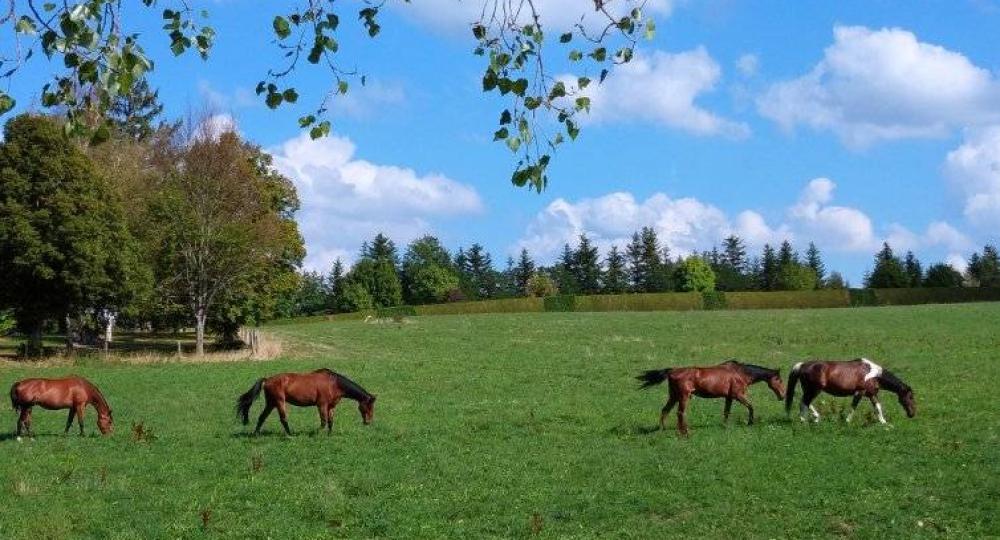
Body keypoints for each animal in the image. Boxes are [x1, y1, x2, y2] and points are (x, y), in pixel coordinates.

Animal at [236, 368, 376, 434]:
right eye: (369, 406)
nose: (368, 422)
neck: (334, 384)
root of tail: (267, 379)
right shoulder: (321, 405)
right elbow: (323, 422)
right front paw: (316, 433)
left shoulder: (331, 406)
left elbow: (330, 421)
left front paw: (329, 434)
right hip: (279, 402)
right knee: (283, 419)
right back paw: (290, 435)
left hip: (271, 403)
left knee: (262, 417)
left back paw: (256, 434)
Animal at [636, 360, 784, 436]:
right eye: (780, 380)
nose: (782, 395)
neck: (741, 373)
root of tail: (672, 371)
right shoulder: (738, 395)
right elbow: (751, 407)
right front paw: (750, 423)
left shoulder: (729, 397)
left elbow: (726, 412)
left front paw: (725, 426)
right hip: (684, 396)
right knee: (680, 412)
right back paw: (685, 432)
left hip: (674, 396)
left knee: (665, 410)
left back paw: (663, 429)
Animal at [784, 358, 916, 426]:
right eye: (910, 397)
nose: (912, 414)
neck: (874, 374)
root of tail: (802, 365)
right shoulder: (860, 392)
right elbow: (854, 406)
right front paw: (847, 421)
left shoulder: (872, 394)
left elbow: (878, 407)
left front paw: (884, 422)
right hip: (814, 389)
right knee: (804, 403)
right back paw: (804, 421)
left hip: (812, 390)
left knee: (805, 402)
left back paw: (815, 418)